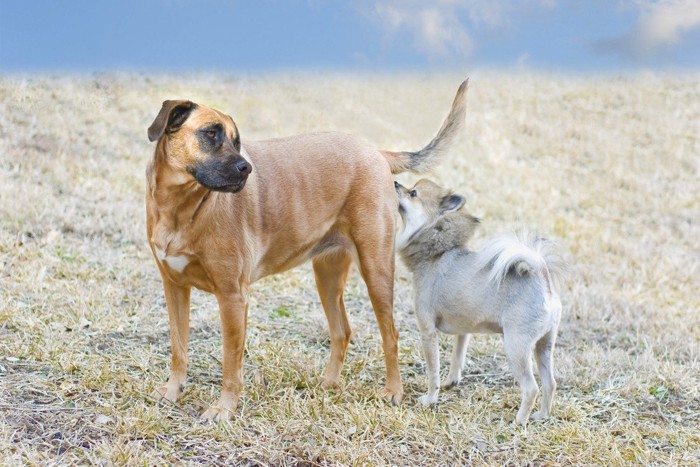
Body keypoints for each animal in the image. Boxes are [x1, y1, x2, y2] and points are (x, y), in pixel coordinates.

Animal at [145, 78, 468, 422]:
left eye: (236, 140)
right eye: (210, 133)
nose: (247, 169)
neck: (182, 208)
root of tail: (376, 152)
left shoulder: (232, 297)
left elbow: (231, 363)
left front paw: (224, 408)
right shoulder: (174, 287)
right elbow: (178, 347)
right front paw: (173, 391)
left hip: (376, 269)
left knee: (390, 334)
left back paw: (393, 391)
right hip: (326, 274)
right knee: (342, 331)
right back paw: (329, 383)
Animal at [394, 180, 564, 428]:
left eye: (413, 193)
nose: (396, 183)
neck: (436, 252)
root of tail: (542, 278)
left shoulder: (427, 332)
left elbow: (433, 371)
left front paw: (430, 398)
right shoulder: (463, 331)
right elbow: (457, 357)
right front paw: (451, 382)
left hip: (515, 347)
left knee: (531, 388)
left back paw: (518, 421)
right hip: (544, 346)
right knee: (550, 383)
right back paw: (541, 415)